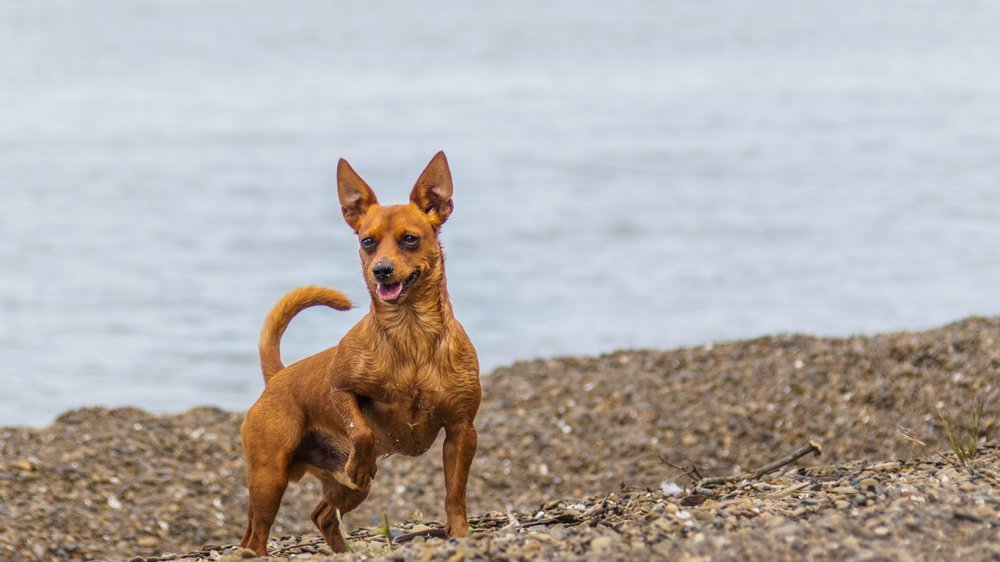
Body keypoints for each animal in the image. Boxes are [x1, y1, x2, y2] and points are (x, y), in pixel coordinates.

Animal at [238, 151, 480, 552]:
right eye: (368, 242)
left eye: (410, 239)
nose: (381, 270)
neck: (410, 333)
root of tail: (278, 375)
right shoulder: (341, 388)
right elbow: (362, 430)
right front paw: (361, 458)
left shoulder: (462, 430)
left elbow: (454, 493)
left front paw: (459, 534)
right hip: (269, 476)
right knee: (257, 532)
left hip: (338, 488)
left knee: (320, 515)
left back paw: (342, 552)